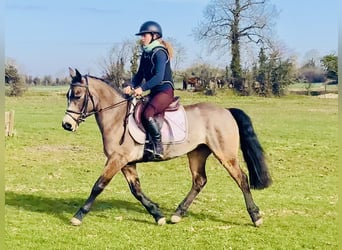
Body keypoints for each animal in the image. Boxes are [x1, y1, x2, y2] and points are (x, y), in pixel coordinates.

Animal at [60, 68, 270, 227]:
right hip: (197, 153)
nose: (67, 125)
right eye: (68, 96)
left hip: (225, 154)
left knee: (241, 178)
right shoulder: (126, 162)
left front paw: (78, 216)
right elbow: (136, 190)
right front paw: (157, 215)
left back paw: (255, 217)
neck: (117, 117)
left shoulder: (117, 159)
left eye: (77, 95)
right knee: (199, 180)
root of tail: (226, 111)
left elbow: (99, 185)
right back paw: (177, 214)